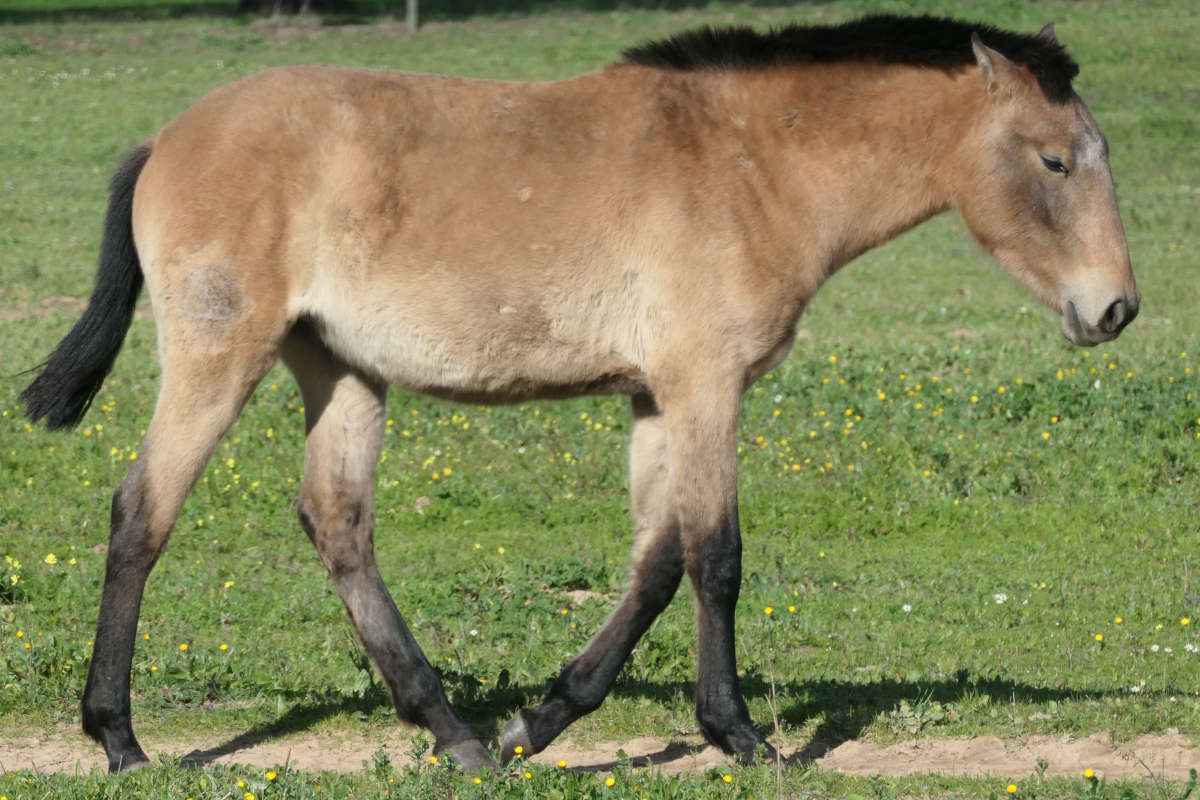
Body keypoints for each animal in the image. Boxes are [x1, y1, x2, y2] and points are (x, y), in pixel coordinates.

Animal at [22, 14, 1138, 773]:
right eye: (1053, 160)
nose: (1116, 308)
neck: (750, 165)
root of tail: (165, 139)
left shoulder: (657, 398)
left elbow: (655, 564)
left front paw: (543, 718)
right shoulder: (706, 386)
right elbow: (717, 557)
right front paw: (741, 735)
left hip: (339, 370)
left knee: (338, 525)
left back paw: (456, 733)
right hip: (221, 358)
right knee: (143, 513)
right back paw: (119, 737)